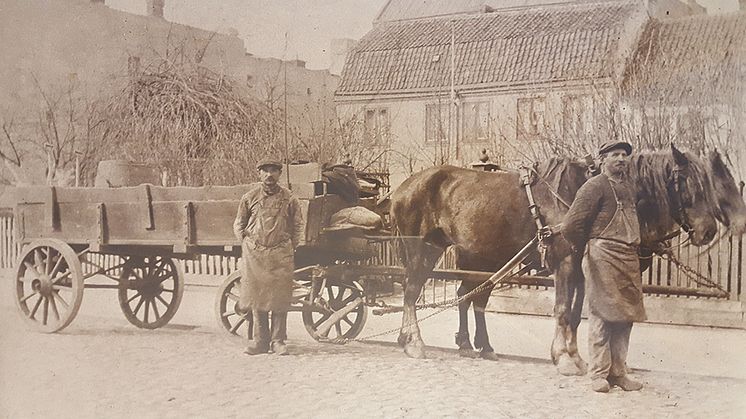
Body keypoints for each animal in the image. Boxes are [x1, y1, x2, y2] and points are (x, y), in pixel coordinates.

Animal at [390, 145, 744, 374]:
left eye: (710, 184)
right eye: (689, 183)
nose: (708, 231)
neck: (582, 192)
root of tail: (403, 186)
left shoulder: (581, 269)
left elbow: (574, 314)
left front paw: (575, 357)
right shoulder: (563, 262)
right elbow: (562, 310)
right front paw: (562, 357)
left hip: (479, 257)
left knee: (468, 296)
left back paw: (470, 345)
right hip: (423, 249)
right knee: (412, 291)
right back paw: (414, 342)